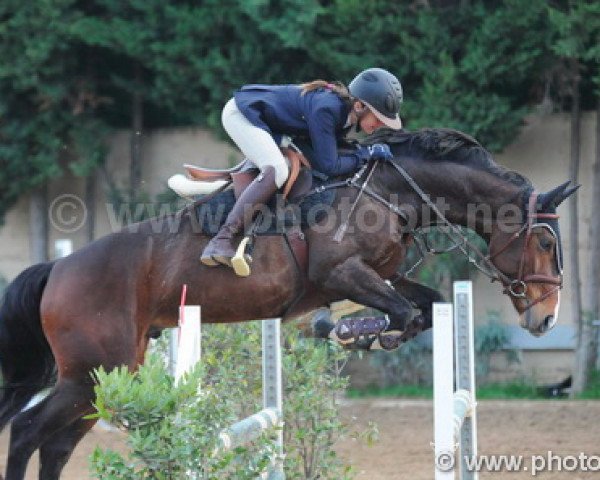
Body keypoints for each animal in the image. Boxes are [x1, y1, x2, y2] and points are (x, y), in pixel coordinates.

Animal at [0, 128, 576, 480]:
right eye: (544, 242)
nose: (545, 318)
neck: (391, 190)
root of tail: (58, 270)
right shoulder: (341, 273)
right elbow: (404, 311)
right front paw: (350, 332)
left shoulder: (377, 276)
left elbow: (420, 305)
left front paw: (350, 331)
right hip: (91, 373)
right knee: (28, 432)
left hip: (108, 376)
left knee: (56, 446)